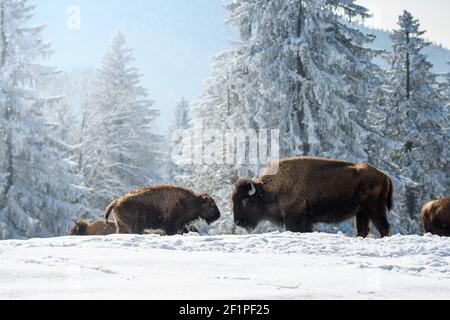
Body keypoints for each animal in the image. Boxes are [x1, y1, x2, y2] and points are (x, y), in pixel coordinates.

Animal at [232, 158, 394, 238]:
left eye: (245, 201)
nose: (237, 222)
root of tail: (384, 175)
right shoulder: (306, 221)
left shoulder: (294, 218)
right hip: (362, 212)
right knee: (363, 229)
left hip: (374, 208)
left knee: (383, 226)